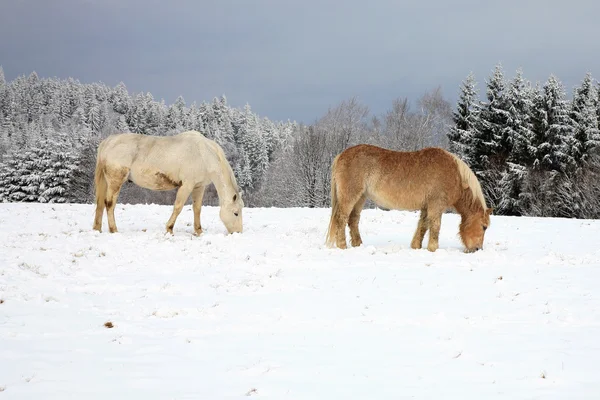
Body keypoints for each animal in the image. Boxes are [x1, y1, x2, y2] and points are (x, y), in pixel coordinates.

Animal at [92, 130, 243, 234]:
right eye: (236, 213)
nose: (238, 232)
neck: (204, 154)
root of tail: (109, 141)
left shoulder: (199, 187)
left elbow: (197, 209)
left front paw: (198, 231)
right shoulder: (186, 185)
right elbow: (178, 207)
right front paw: (169, 229)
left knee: (100, 204)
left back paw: (97, 229)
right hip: (115, 181)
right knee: (109, 204)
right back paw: (113, 230)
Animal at [328, 145, 492, 253]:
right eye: (484, 227)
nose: (477, 249)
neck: (455, 174)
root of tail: (341, 155)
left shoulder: (426, 207)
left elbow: (423, 226)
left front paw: (416, 246)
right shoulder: (436, 205)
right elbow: (435, 226)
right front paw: (433, 248)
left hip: (360, 198)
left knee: (353, 220)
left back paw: (358, 245)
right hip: (350, 197)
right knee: (342, 219)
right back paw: (342, 246)